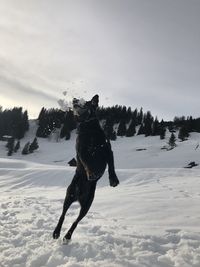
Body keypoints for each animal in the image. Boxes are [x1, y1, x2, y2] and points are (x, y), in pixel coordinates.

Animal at [52, 94, 119, 243]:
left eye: (87, 102)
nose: (75, 100)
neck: (89, 128)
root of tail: (78, 195)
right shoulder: (82, 151)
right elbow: (87, 161)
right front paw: (92, 173)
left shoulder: (108, 150)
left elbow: (112, 167)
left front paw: (113, 180)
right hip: (69, 195)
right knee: (63, 215)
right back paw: (57, 232)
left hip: (87, 205)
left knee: (75, 222)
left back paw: (67, 236)